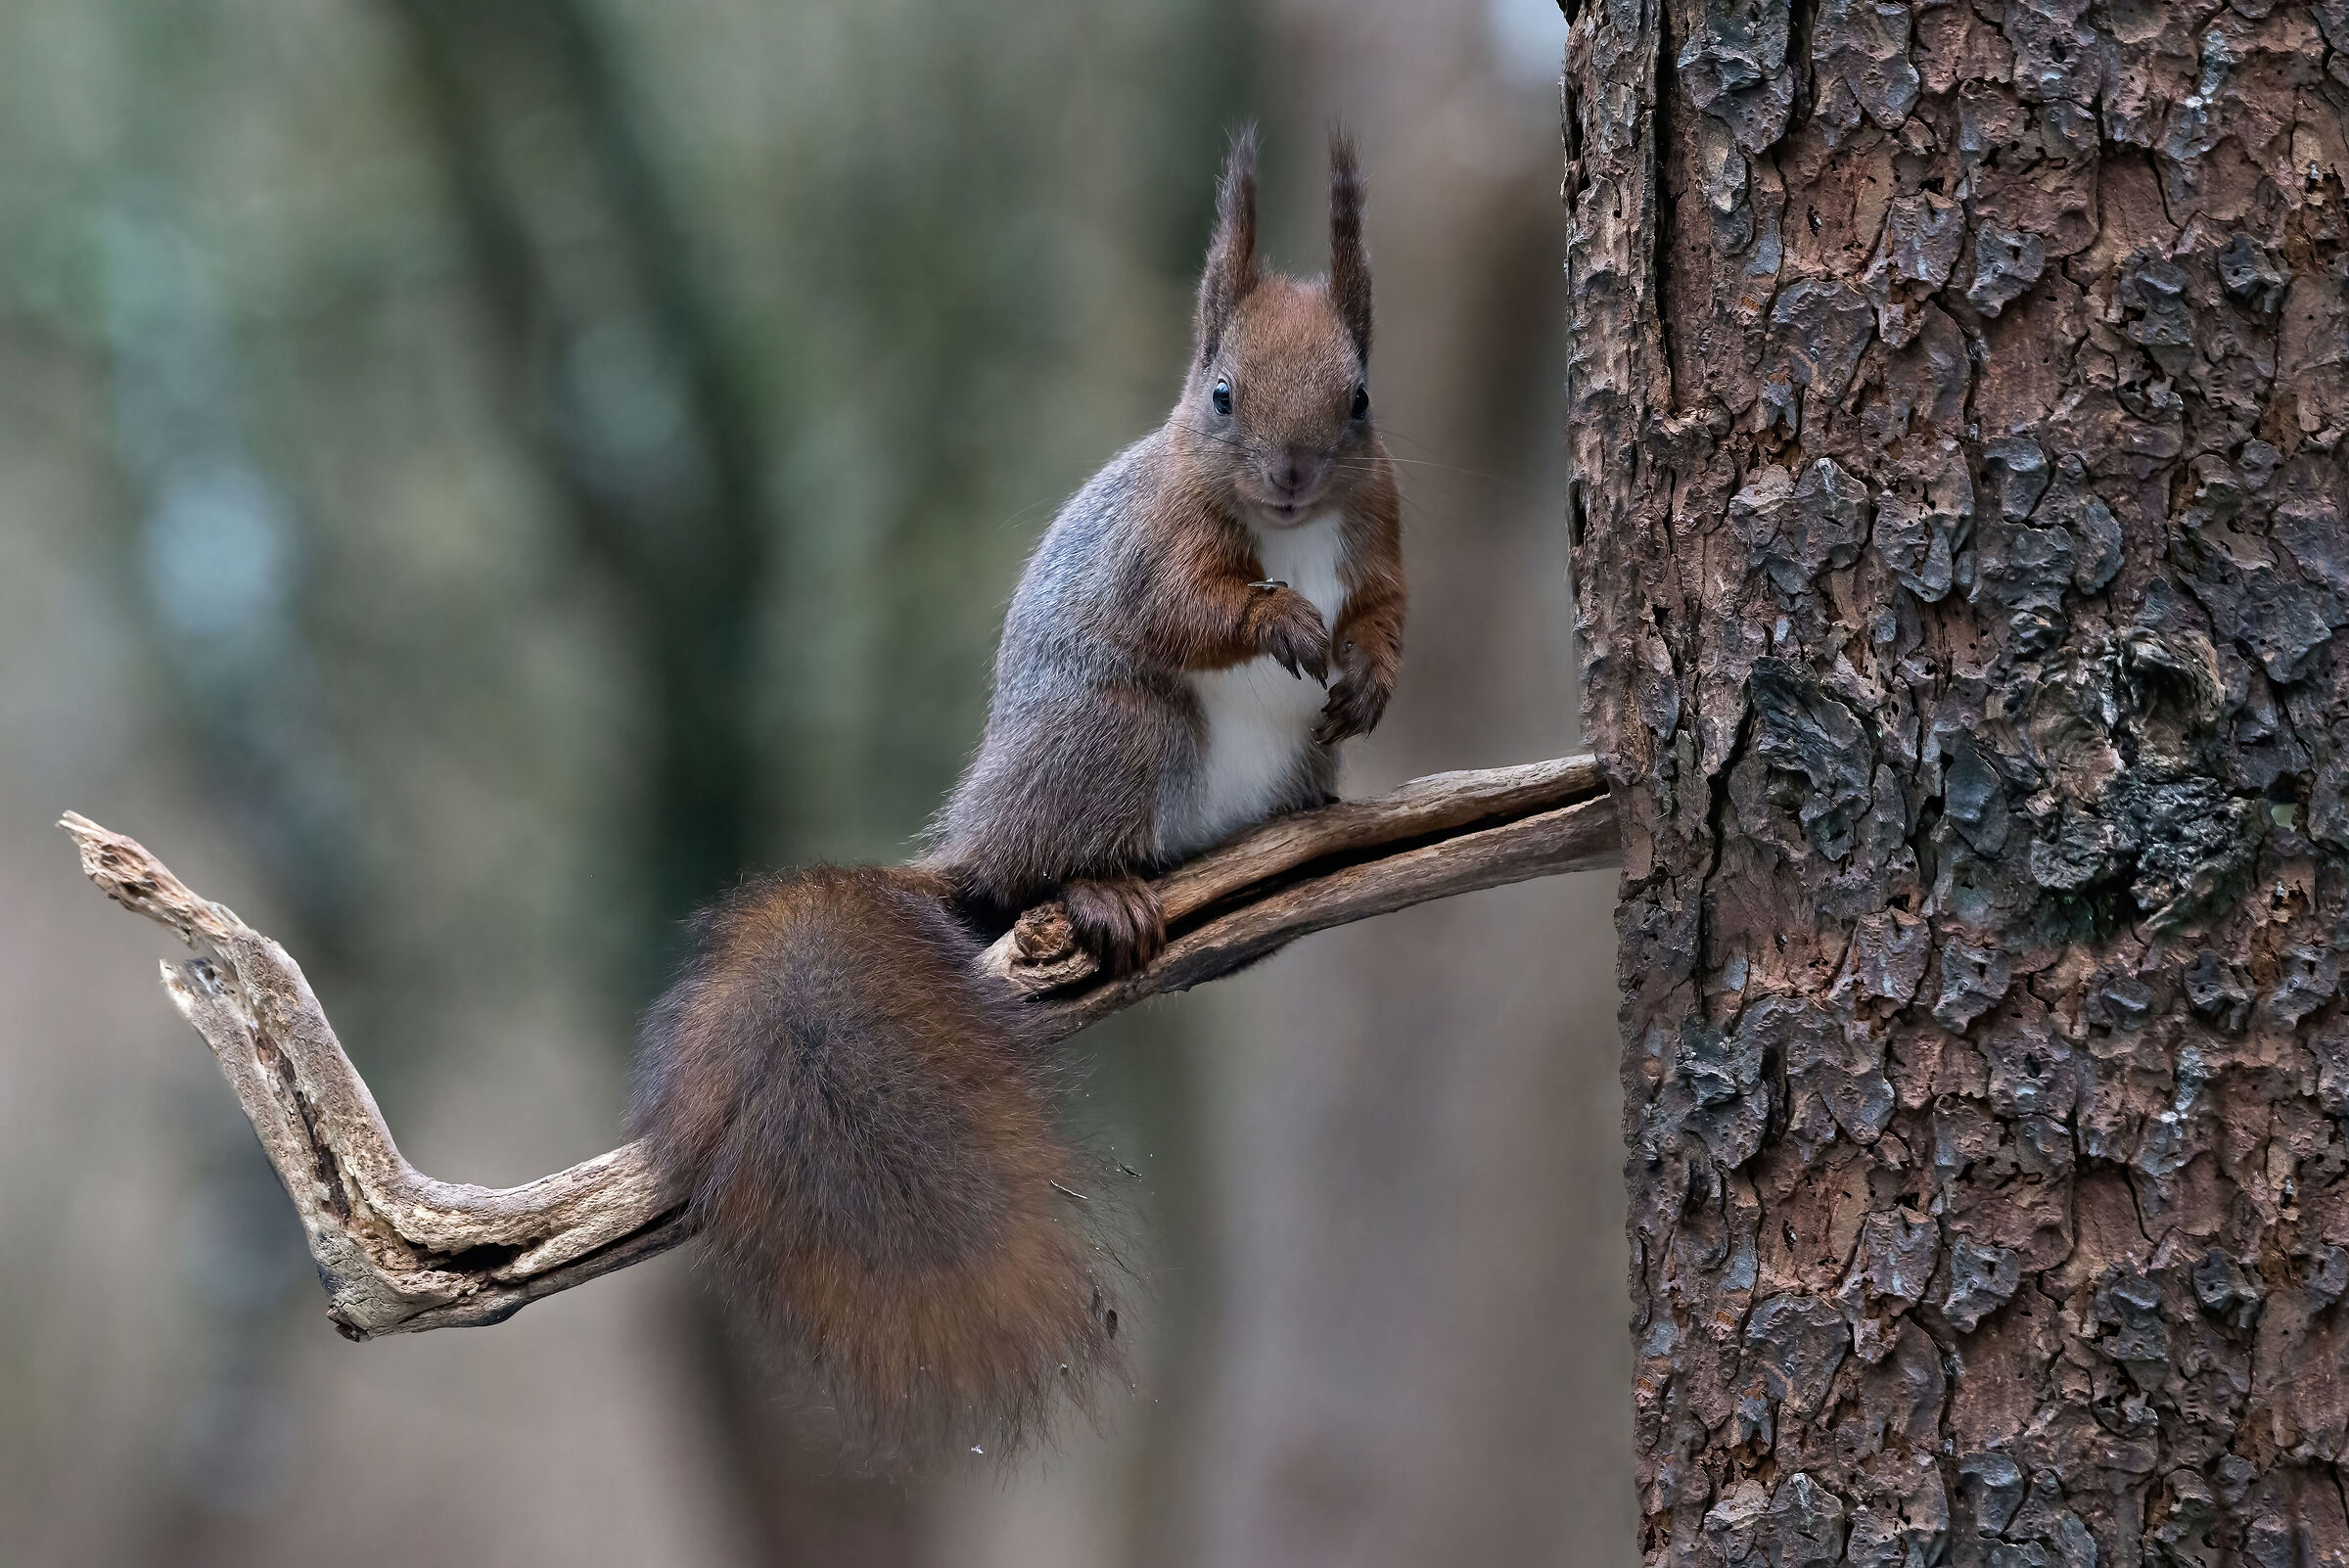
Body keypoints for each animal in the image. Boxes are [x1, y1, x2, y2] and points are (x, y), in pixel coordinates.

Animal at [627, 127, 1403, 1458]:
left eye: (1359, 397)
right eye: (1221, 394)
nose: (1297, 478)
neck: (1288, 526)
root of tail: (971, 845)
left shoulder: (1385, 518)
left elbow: (1393, 612)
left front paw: (1368, 676)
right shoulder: (1156, 543)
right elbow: (1186, 610)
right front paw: (1278, 620)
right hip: (1117, 735)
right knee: (1044, 861)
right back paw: (1098, 894)